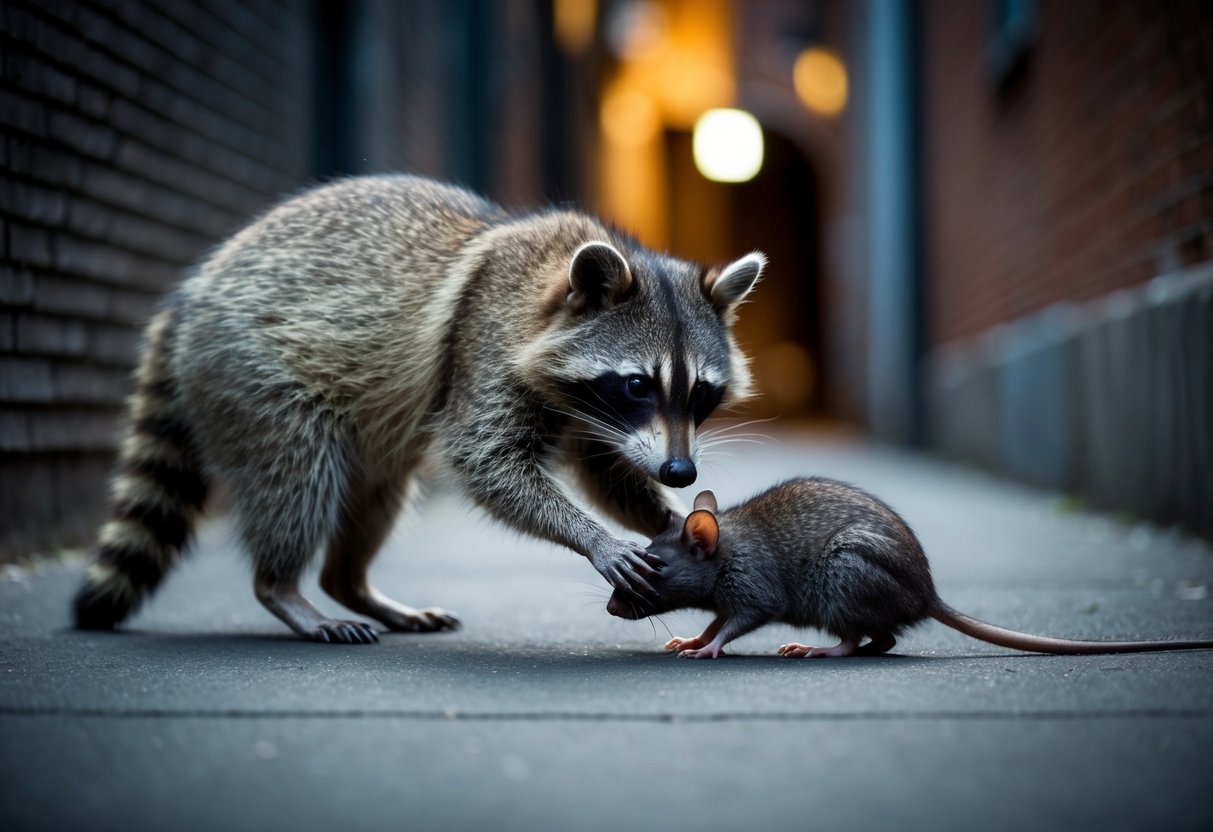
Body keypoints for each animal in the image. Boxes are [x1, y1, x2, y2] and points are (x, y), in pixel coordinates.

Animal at [73, 175, 764, 643]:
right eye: (638, 385)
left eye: (700, 393)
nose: (681, 473)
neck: (549, 279)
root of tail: (190, 297)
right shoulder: (483, 342)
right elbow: (485, 462)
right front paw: (592, 536)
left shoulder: (592, 415)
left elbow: (608, 472)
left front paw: (667, 517)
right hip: (252, 374)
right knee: (297, 476)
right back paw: (283, 587)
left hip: (367, 432)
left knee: (376, 494)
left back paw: (350, 585)